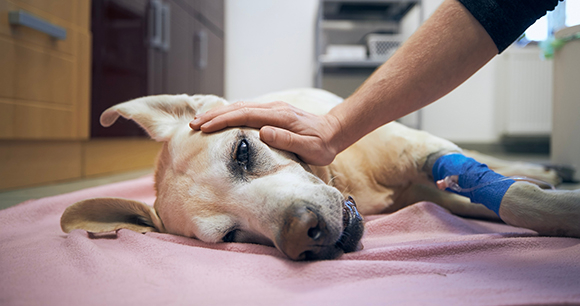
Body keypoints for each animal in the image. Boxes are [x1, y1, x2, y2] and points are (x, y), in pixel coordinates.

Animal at [60, 87, 580, 260]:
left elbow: (517, 199)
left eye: (243, 151)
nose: (301, 234)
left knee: (488, 162)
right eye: (231, 236)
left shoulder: (422, 151)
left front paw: (560, 203)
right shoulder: (435, 190)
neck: (349, 182)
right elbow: (506, 200)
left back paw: (545, 167)